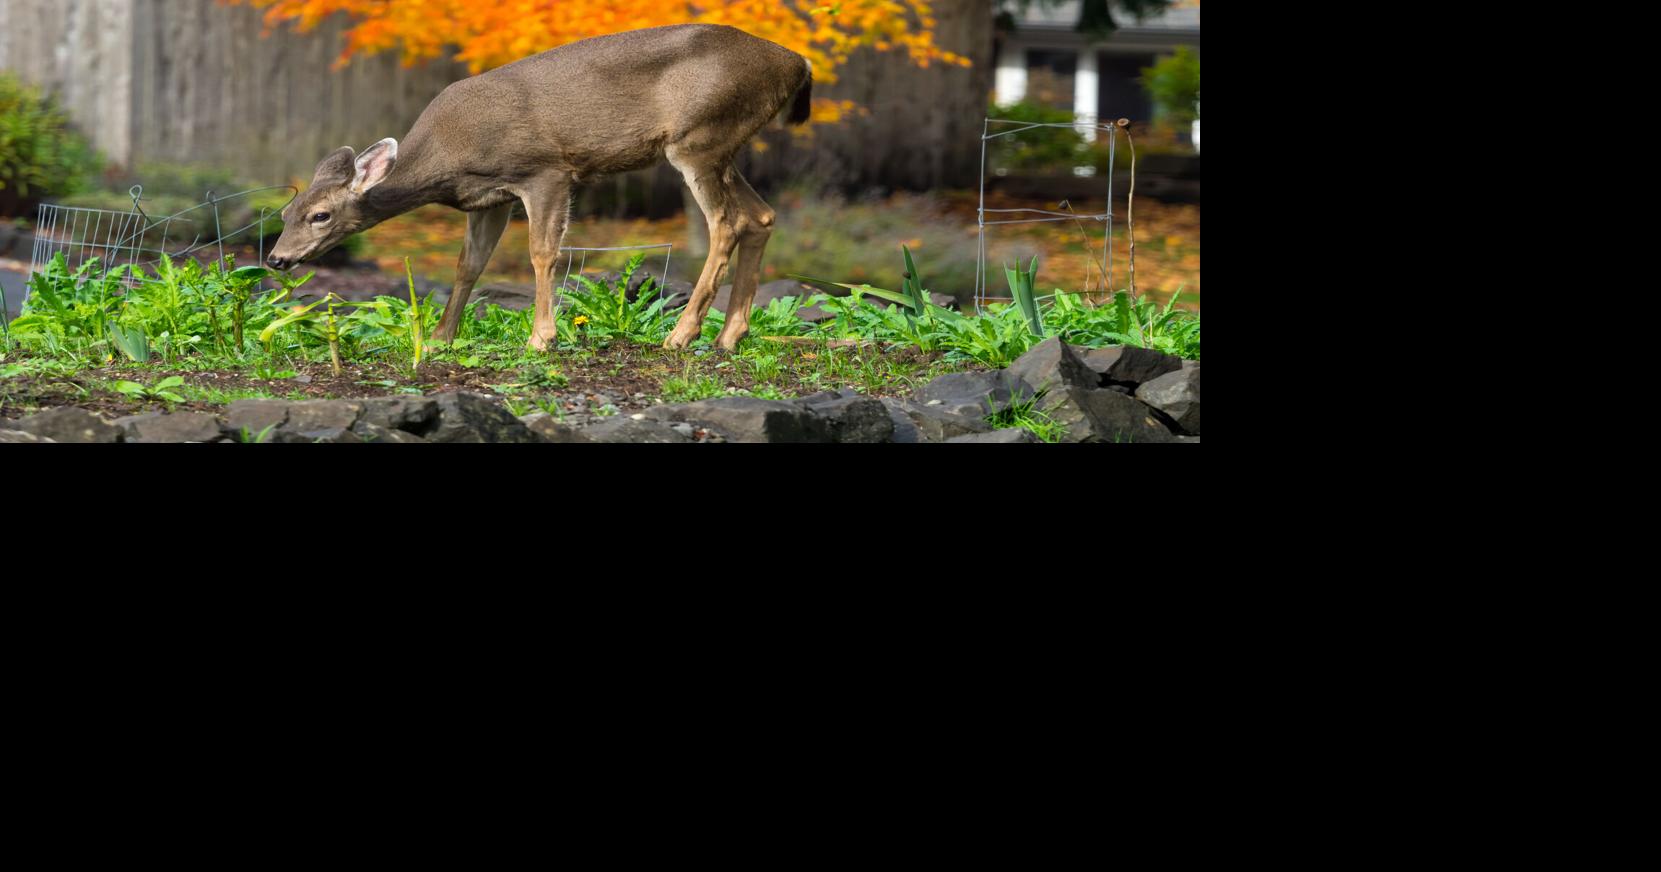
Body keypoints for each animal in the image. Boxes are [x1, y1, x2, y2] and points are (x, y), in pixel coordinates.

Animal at [265, 24, 813, 352]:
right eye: (285, 214)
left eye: (320, 215)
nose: (276, 258)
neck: (449, 159)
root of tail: (797, 63)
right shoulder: (486, 200)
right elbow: (468, 265)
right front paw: (442, 337)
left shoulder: (545, 171)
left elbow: (543, 254)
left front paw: (541, 338)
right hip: (723, 146)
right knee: (761, 216)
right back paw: (730, 336)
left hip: (699, 138)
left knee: (727, 222)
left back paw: (681, 336)